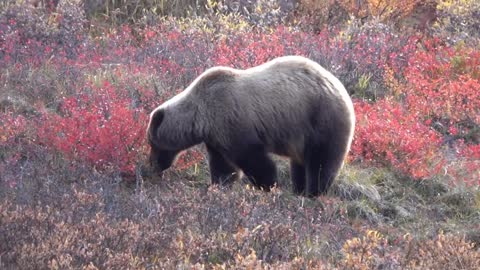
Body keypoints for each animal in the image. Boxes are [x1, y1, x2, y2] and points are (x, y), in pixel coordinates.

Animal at [148, 56, 354, 196]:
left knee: (321, 162)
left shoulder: (232, 120)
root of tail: (340, 87)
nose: (153, 166)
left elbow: (254, 160)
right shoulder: (216, 136)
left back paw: (313, 192)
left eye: (152, 143)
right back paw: (299, 190)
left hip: (321, 119)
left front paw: (268, 185)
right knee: (300, 164)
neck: (200, 116)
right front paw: (218, 186)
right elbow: (224, 166)